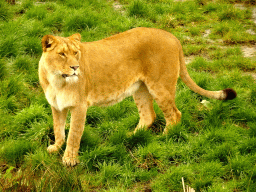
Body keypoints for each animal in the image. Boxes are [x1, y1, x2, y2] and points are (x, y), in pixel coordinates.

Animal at [38, 27, 236, 166]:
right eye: (62, 54)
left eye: (76, 53)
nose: (75, 67)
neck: (57, 80)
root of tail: (172, 36)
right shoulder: (56, 105)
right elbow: (58, 129)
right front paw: (55, 148)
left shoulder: (80, 106)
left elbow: (74, 133)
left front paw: (69, 159)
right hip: (140, 89)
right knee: (149, 115)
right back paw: (130, 137)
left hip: (160, 86)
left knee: (174, 114)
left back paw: (164, 138)